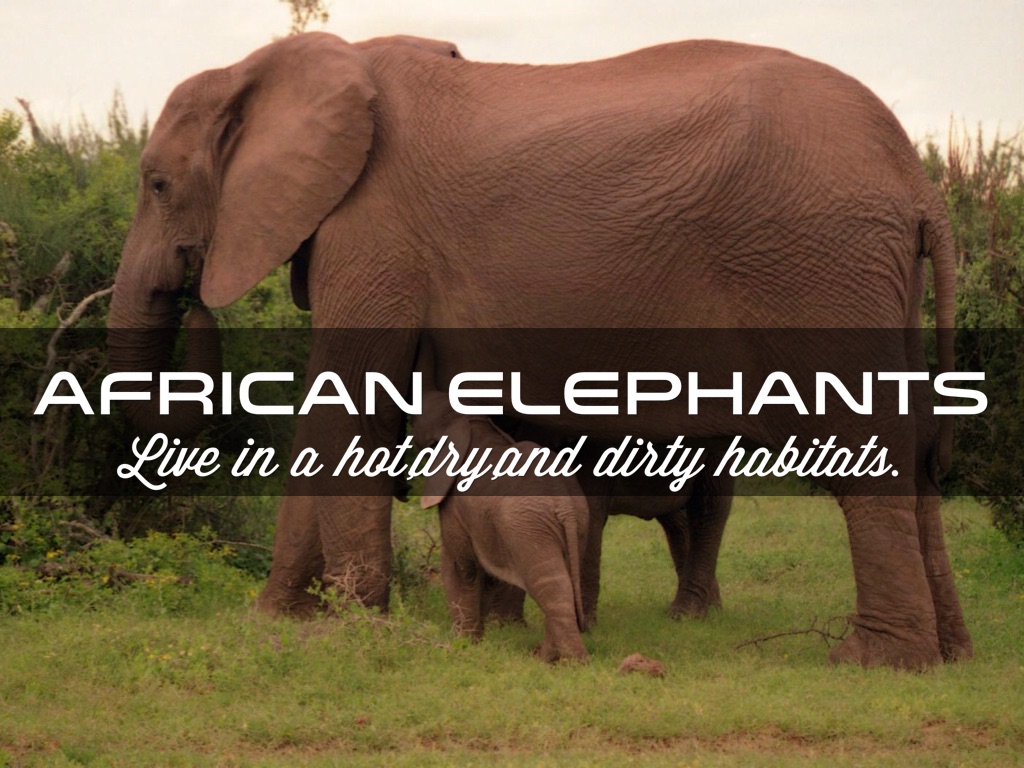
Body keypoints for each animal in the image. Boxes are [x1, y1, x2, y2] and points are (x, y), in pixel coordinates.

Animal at [412, 386, 589, 662]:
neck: (470, 422)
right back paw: (548, 655)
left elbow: (462, 567)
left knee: (551, 583)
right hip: (577, 522)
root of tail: (565, 506)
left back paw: (567, 661)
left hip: (527, 527)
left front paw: (463, 643)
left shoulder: (454, 506)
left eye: (415, 418)